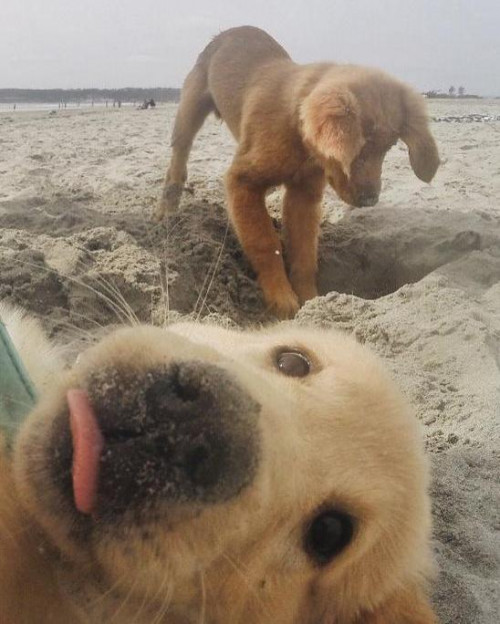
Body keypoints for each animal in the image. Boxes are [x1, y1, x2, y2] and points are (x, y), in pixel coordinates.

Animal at [157, 25, 442, 316]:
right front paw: (280, 296)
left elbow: (304, 250)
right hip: (189, 108)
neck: (297, 132)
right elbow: (264, 241)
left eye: (389, 146)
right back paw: (166, 213)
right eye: (359, 148)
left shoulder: (303, 195)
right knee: (177, 162)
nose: (370, 200)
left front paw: (310, 298)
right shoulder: (242, 181)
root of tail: (231, 31)